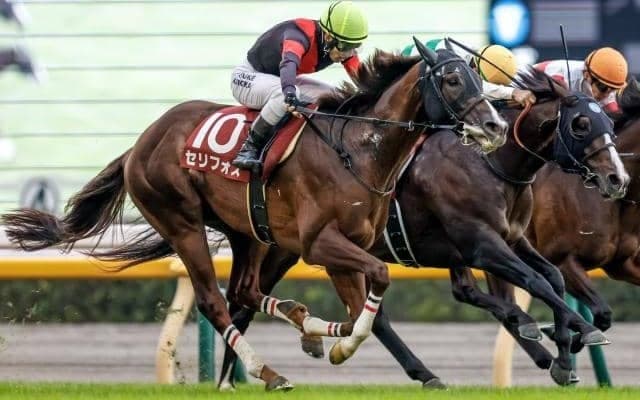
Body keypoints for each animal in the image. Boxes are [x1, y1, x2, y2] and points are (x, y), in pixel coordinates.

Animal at [1, 41, 508, 391]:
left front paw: (328, 338)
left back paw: (296, 330)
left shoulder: (346, 247)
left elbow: (360, 307)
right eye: (452, 80)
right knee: (215, 300)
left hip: (251, 232)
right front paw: (339, 343)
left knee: (245, 290)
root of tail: (142, 142)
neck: (360, 149)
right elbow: (377, 285)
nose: (495, 125)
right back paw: (268, 369)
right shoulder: (319, 244)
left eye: (477, 77)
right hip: (183, 223)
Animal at [217, 67, 630, 389]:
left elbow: (550, 280)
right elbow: (538, 282)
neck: (492, 163)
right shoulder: (482, 244)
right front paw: (576, 333)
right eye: (580, 124)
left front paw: (563, 352)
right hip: (286, 246)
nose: (617, 178)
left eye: (610, 123)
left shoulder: (510, 239)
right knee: (244, 304)